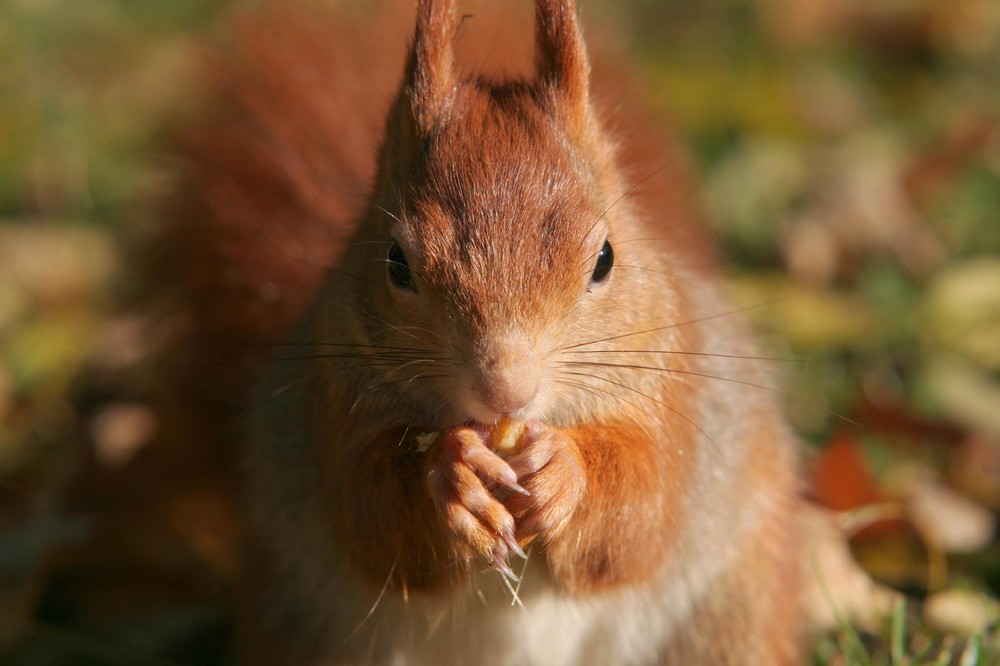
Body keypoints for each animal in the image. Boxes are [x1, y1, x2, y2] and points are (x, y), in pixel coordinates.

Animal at [137, 1, 800, 664]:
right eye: (396, 262)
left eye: (606, 259)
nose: (506, 390)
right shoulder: (332, 404)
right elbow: (371, 517)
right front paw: (450, 475)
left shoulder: (669, 390)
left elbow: (640, 512)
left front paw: (565, 469)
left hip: (724, 620)